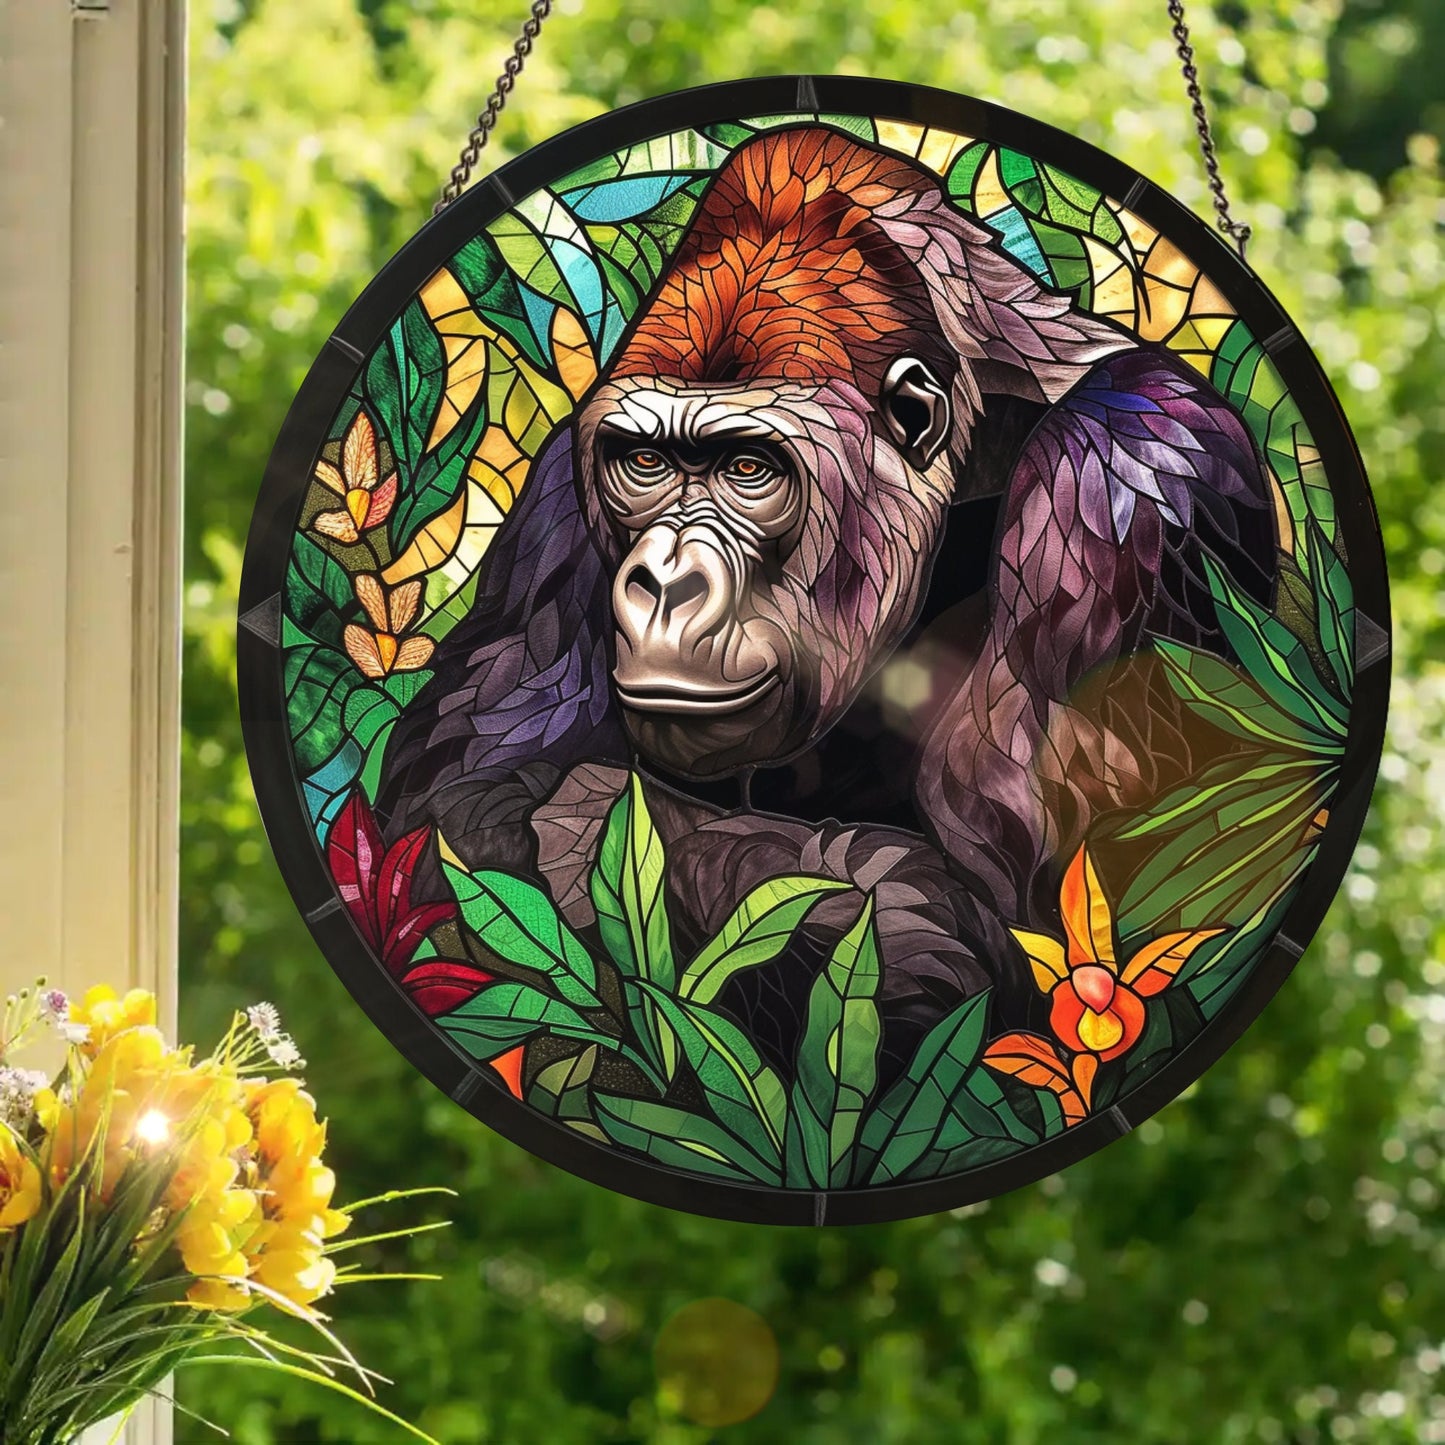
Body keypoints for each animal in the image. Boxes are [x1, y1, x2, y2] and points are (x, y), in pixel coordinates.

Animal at [373, 125, 1275, 1071]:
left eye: (747, 468)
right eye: (646, 462)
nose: (664, 579)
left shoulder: (1126, 473)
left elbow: (1045, 934)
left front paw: (593, 829)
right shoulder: (559, 480)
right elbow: (448, 801)